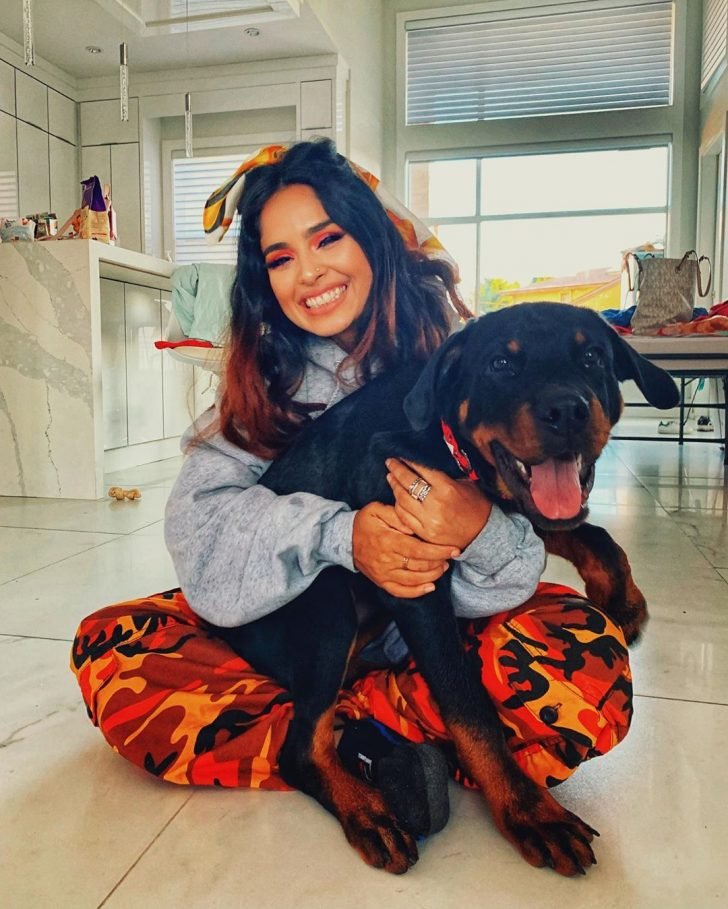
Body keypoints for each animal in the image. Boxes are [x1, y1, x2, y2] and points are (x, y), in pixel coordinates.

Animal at [215, 302, 676, 876]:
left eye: (592, 355)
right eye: (501, 363)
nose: (567, 410)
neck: (441, 435)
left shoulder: (504, 506)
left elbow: (589, 532)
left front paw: (623, 599)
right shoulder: (411, 580)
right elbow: (468, 706)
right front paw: (530, 812)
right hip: (328, 596)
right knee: (300, 748)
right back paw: (369, 814)